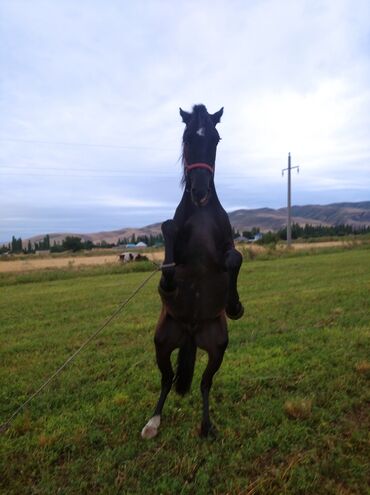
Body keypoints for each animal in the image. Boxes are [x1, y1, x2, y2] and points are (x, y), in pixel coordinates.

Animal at [143, 103, 244, 438]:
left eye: (215, 139)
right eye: (187, 138)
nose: (200, 191)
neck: (200, 214)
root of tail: (190, 332)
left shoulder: (226, 248)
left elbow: (235, 258)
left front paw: (234, 305)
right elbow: (168, 238)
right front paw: (168, 283)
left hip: (217, 347)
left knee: (204, 383)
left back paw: (207, 425)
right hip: (162, 343)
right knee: (167, 379)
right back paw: (153, 421)